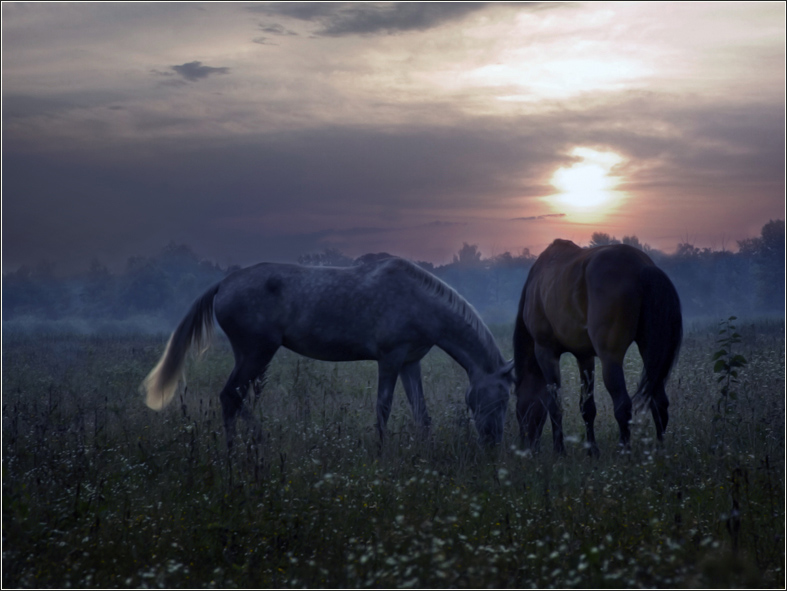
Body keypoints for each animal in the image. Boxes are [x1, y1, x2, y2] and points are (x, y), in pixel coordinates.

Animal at [142, 256, 516, 448]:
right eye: (500, 398)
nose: (494, 441)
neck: (420, 301)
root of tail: (223, 284)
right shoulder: (390, 359)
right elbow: (383, 409)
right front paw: (380, 451)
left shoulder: (411, 362)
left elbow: (421, 413)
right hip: (256, 352)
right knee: (230, 396)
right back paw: (249, 442)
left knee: (232, 398)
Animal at [516, 238, 680, 456]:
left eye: (519, 409)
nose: (525, 448)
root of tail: (642, 266)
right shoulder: (584, 356)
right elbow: (587, 407)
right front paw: (592, 450)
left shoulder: (545, 352)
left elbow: (554, 404)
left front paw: (559, 451)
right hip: (649, 353)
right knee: (659, 401)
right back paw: (659, 452)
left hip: (610, 358)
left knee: (623, 405)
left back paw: (625, 453)